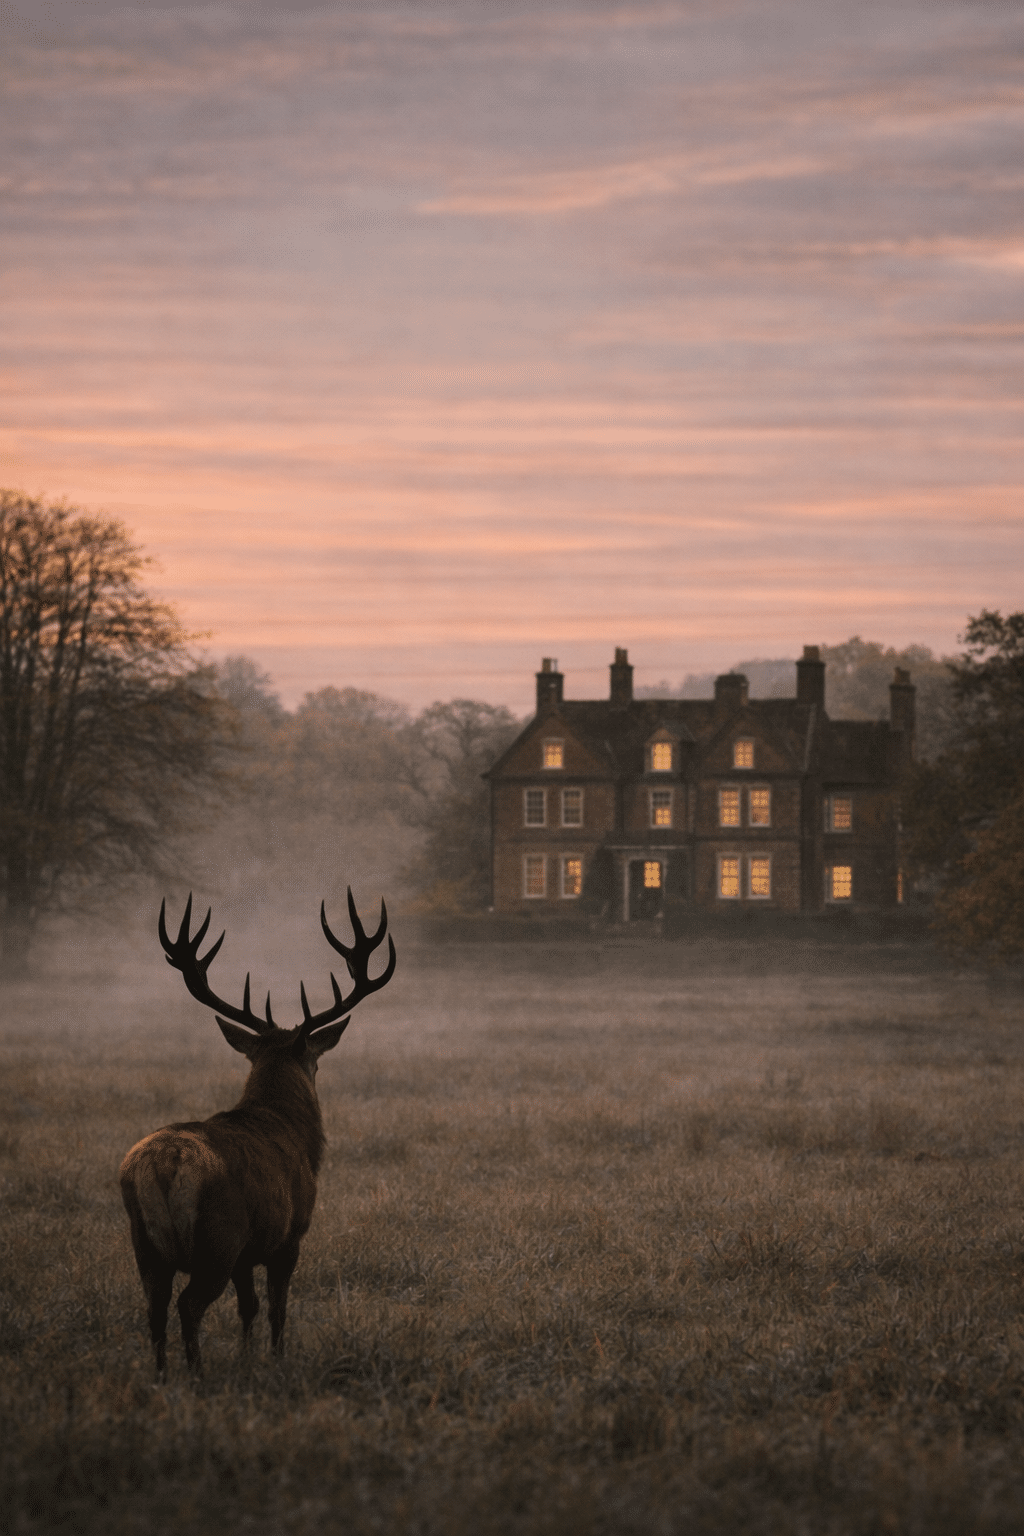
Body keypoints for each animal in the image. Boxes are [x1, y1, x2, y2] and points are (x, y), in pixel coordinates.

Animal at [120, 890, 396, 1379]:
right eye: (315, 1062)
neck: (292, 1131)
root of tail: (160, 1168)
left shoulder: (248, 1254)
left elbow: (247, 1306)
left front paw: (248, 1357)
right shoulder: (288, 1234)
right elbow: (277, 1308)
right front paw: (277, 1358)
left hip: (145, 1245)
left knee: (154, 1311)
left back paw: (162, 1377)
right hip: (219, 1237)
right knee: (189, 1306)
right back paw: (197, 1376)